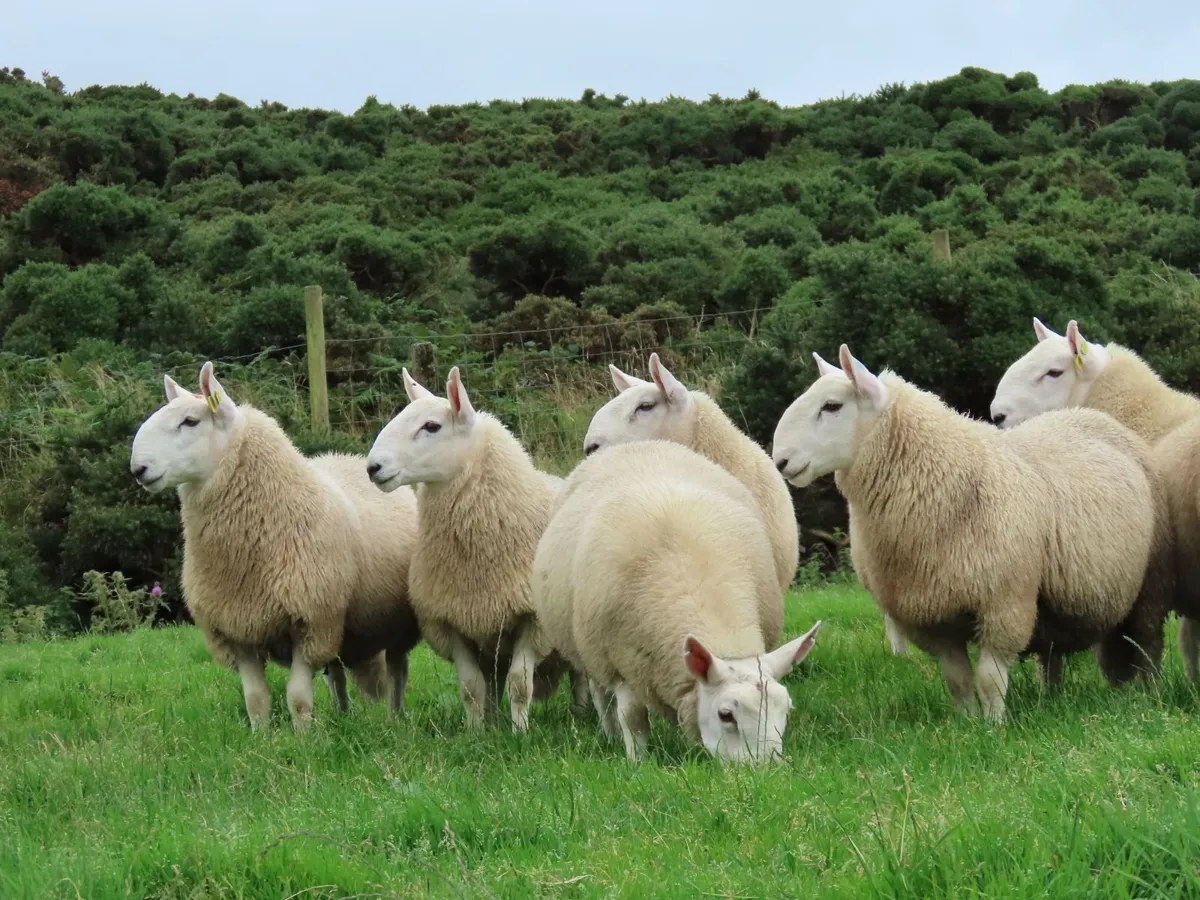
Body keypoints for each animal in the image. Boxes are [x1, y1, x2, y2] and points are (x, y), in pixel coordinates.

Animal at [129, 363, 420, 731]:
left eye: (190, 422)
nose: (138, 469)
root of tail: (349, 458)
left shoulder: (309, 621)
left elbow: (297, 697)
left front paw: (303, 737)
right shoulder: (237, 627)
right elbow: (255, 699)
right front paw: (261, 736)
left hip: (391, 624)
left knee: (397, 673)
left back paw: (395, 718)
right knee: (337, 676)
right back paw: (343, 715)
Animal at [366, 366, 588, 731]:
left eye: (431, 426)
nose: (373, 468)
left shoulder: (533, 622)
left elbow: (520, 684)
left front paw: (520, 732)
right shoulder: (452, 622)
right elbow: (471, 687)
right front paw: (475, 733)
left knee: (580, 676)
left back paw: (581, 714)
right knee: (492, 682)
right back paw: (493, 723)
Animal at [527, 438, 821, 763]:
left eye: (786, 709)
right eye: (726, 715)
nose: (767, 768)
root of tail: (640, 443)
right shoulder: (621, 664)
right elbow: (632, 719)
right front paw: (638, 761)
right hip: (588, 649)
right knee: (601, 695)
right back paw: (610, 734)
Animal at [772, 345, 1173, 722]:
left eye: (832, 406)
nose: (780, 461)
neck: (947, 476)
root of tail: (1087, 415)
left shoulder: (1005, 602)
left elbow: (990, 680)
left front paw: (994, 726)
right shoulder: (932, 616)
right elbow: (958, 680)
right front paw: (966, 722)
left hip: (1149, 586)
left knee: (1149, 643)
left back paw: (1150, 693)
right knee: (1052, 655)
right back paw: (1051, 695)